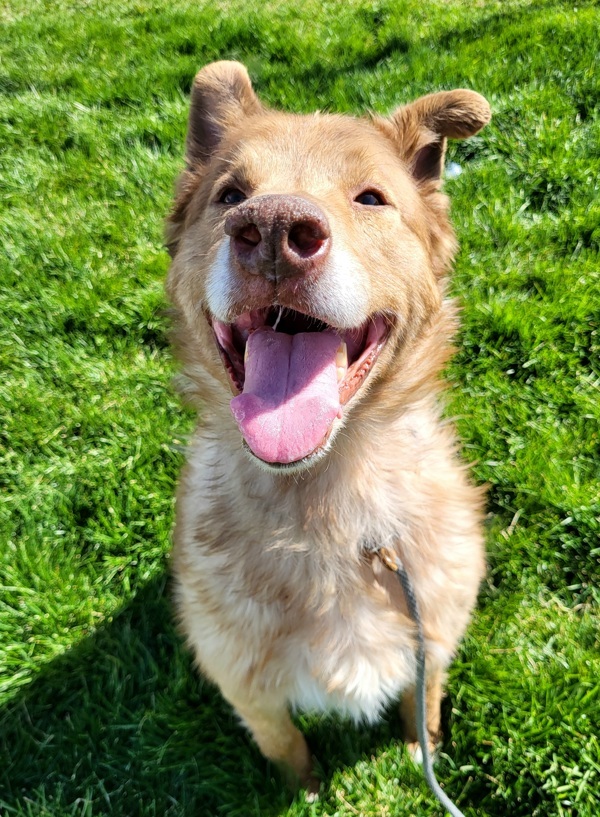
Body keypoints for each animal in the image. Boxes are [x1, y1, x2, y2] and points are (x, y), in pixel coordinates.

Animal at [163, 60, 488, 792]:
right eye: (230, 195)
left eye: (371, 198)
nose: (273, 230)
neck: (325, 504)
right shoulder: (245, 685)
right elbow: (285, 745)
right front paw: (305, 789)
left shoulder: (432, 635)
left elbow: (423, 704)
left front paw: (421, 752)